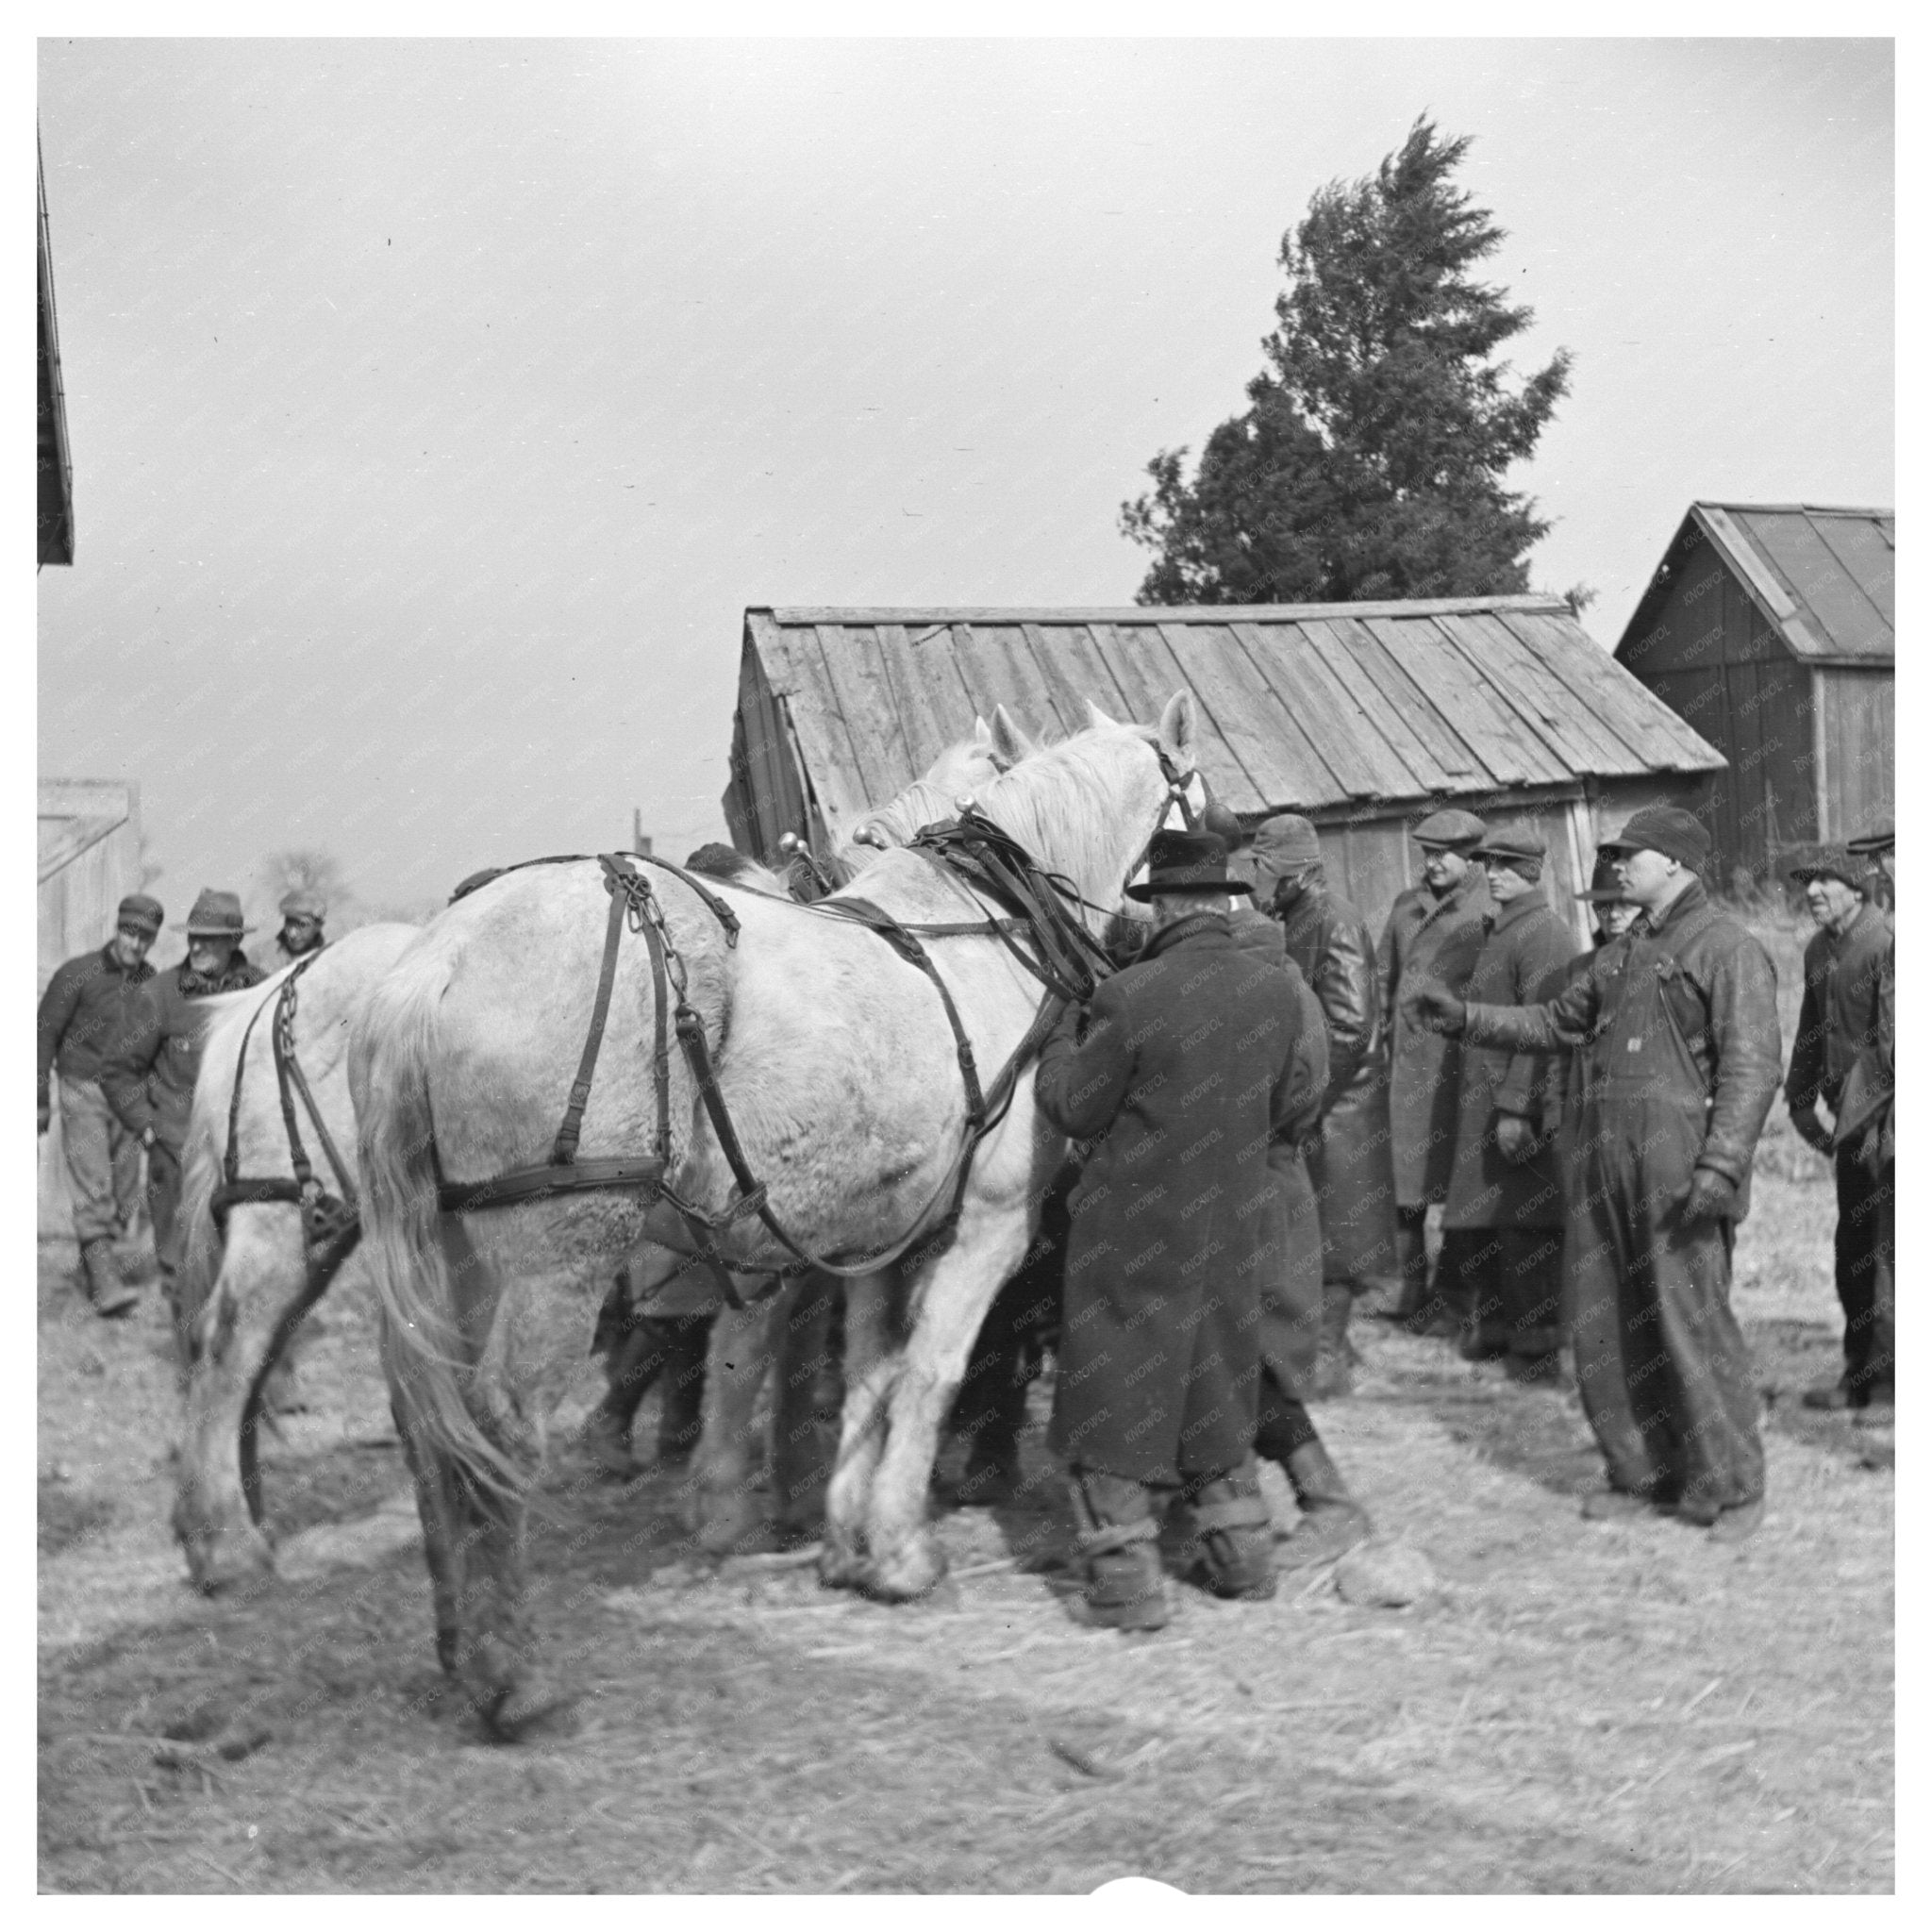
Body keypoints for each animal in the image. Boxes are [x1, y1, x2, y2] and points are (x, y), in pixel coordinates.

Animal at [347, 695, 1190, 1739]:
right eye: (1197, 793)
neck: (986, 928)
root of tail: (436, 961)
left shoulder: (874, 1235)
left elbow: (865, 1373)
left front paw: (847, 1539)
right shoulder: (986, 1223)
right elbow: (928, 1373)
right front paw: (898, 1553)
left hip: (449, 1248)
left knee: (427, 1424)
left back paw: (458, 1646)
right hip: (561, 1253)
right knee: (498, 1425)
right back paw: (517, 1680)